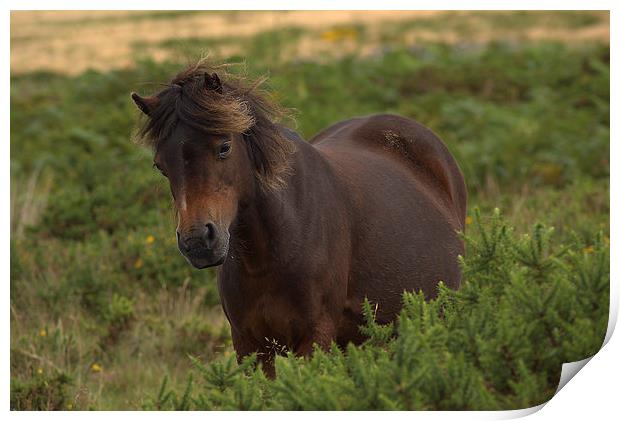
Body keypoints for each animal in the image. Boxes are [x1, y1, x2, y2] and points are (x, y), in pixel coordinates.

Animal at [132, 60, 470, 378]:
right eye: (160, 165)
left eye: (224, 147)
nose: (198, 242)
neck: (272, 250)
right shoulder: (249, 345)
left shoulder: (314, 337)